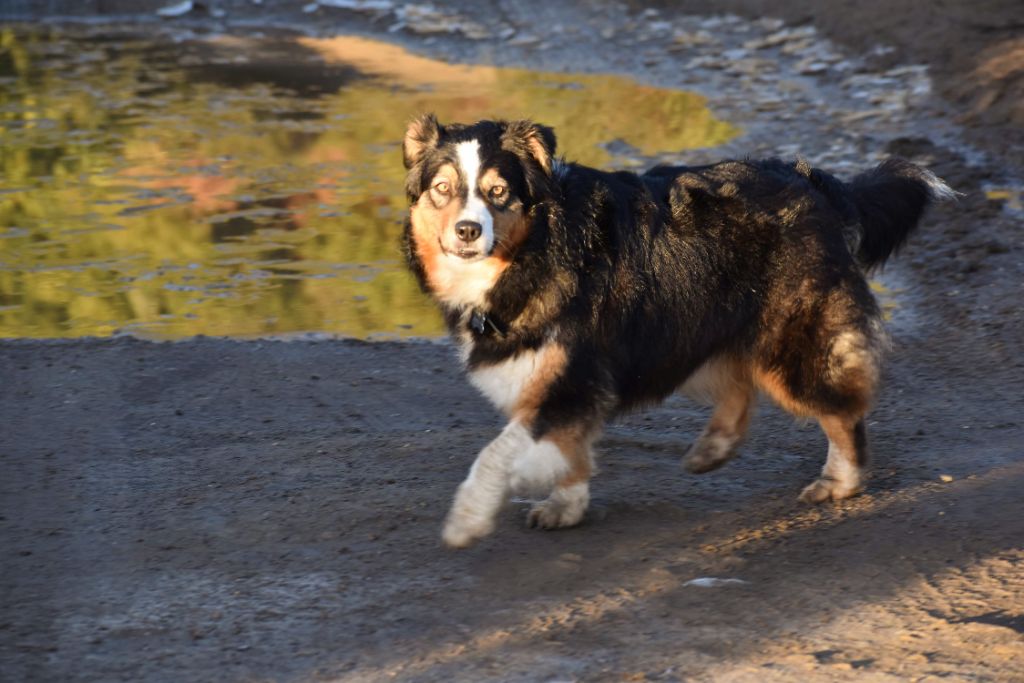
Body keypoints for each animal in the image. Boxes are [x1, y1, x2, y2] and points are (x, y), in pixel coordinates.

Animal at [399, 114, 950, 548]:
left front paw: (468, 519)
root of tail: (814, 181)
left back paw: (841, 480)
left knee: (841, 409)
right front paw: (567, 504)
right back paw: (713, 449)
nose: (468, 231)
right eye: (442, 189)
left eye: (498, 192)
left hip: (791, 341)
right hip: (707, 322)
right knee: (740, 386)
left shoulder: (570, 375)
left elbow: (498, 453)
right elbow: (569, 448)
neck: (534, 250)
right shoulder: (569, 380)